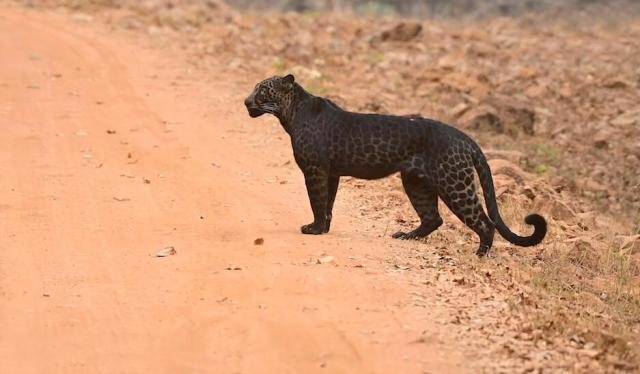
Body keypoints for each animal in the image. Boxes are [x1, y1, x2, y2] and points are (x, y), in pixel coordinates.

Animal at [244, 74, 544, 256]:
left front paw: (314, 229)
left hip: (454, 184)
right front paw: (324, 228)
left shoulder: (315, 170)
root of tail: (466, 138)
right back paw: (406, 236)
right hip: (416, 182)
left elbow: (317, 201)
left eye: (263, 89)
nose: (246, 101)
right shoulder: (331, 174)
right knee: (433, 217)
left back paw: (480, 254)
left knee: (484, 221)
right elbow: (328, 203)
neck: (290, 113)